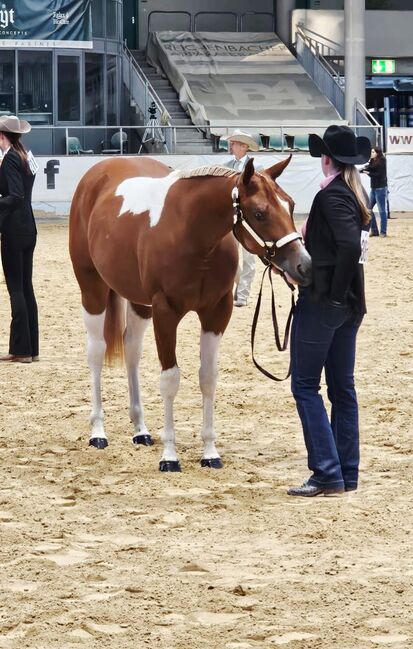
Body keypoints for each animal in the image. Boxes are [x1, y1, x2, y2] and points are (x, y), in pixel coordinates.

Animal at [69, 155, 311, 472]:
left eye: (291, 205)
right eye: (259, 213)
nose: (303, 265)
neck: (193, 234)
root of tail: (98, 172)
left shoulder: (216, 312)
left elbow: (207, 378)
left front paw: (210, 452)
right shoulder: (165, 312)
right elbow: (170, 380)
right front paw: (170, 456)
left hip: (139, 303)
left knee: (132, 351)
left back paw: (141, 430)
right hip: (93, 289)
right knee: (96, 352)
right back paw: (98, 431)